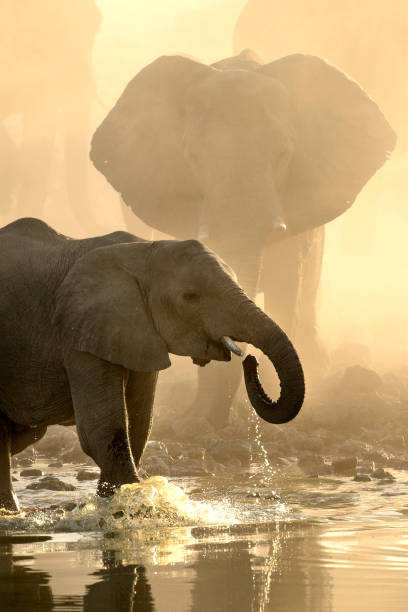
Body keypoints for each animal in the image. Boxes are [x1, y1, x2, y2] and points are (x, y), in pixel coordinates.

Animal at [0, 218, 304, 510]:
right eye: (191, 296)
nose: (251, 360)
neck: (143, 250)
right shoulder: (78, 333)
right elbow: (101, 427)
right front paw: (130, 505)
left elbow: (139, 423)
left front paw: (118, 501)